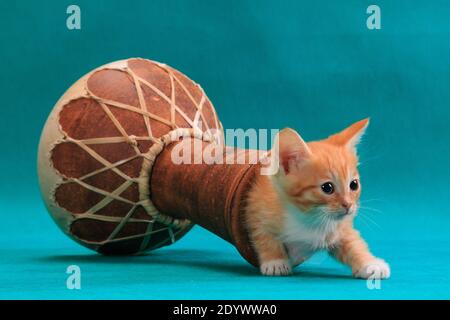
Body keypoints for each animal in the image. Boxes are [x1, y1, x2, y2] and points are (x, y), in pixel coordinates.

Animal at [244, 119, 388, 278]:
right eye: (327, 187)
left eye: (354, 184)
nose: (348, 205)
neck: (308, 215)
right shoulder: (255, 207)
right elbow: (264, 235)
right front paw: (275, 262)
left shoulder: (339, 228)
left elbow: (353, 242)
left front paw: (370, 263)